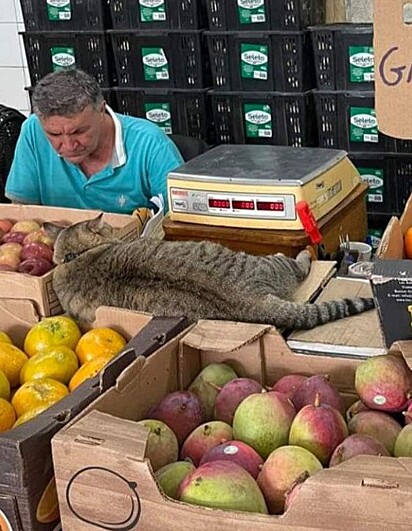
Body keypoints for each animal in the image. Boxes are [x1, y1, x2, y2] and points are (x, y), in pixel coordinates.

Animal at [43, 214, 374, 326]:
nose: (113, 229)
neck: (75, 257)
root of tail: (252, 301)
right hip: (268, 262)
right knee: (297, 264)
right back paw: (305, 251)